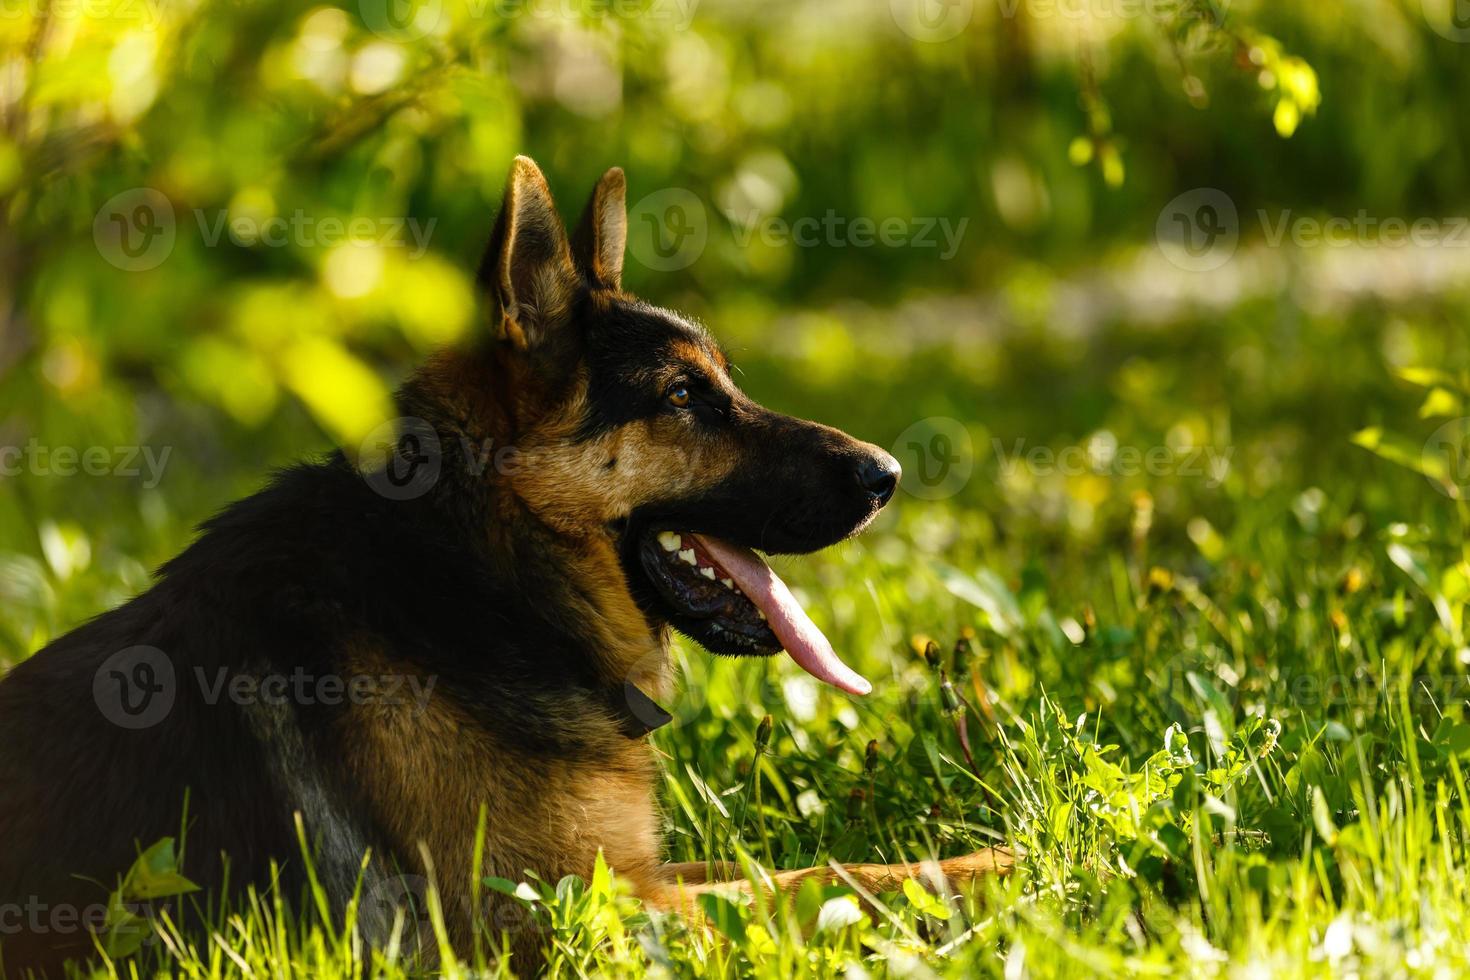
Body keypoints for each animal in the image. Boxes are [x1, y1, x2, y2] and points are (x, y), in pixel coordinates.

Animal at [0, 159, 1011, 975]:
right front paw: (994, 871)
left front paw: (981, 858)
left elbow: (808, 865)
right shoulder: (570, 913)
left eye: (726, 381)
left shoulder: (628, 871)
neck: (488, 576)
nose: (887, 475)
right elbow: (813, 882)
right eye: (684, 396)